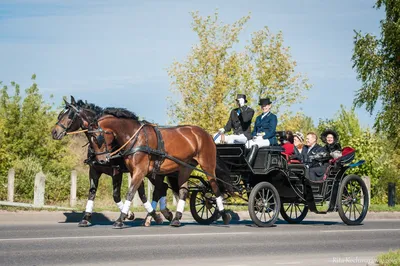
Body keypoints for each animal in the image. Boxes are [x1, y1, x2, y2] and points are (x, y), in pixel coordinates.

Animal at [50, 96, 176, 225]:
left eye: (70, 115)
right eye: (60, 115)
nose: (54, 132)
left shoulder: (117, 171)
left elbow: (118, 195)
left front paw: (129, 214)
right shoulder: (94, 170)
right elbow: (92, 192)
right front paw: (86, 217)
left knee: (160, 188)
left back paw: (158, 215)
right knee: (162, 187)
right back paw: (162, 214)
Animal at [88, 107, 231, 228]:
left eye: (97, 137)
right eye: (89, 138)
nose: (101, 160)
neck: (136, 137)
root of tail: (206, 134)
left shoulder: (139, 171)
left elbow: (131, 193)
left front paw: (120, 219)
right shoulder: (134, 171)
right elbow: (140, 193)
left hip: (208, 165)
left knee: (215, 187)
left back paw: (224, 215)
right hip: (185, 167)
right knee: (183, 190)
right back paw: (176, 219)